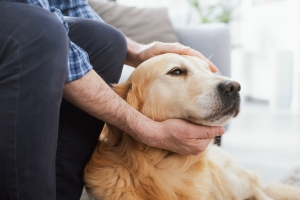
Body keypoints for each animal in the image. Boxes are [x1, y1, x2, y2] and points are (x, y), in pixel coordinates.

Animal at [84, 53, 300, 200]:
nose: (234, 87)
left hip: (232, 182)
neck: (165, 165)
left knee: (258, 191)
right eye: (176, 71)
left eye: (209, 71)